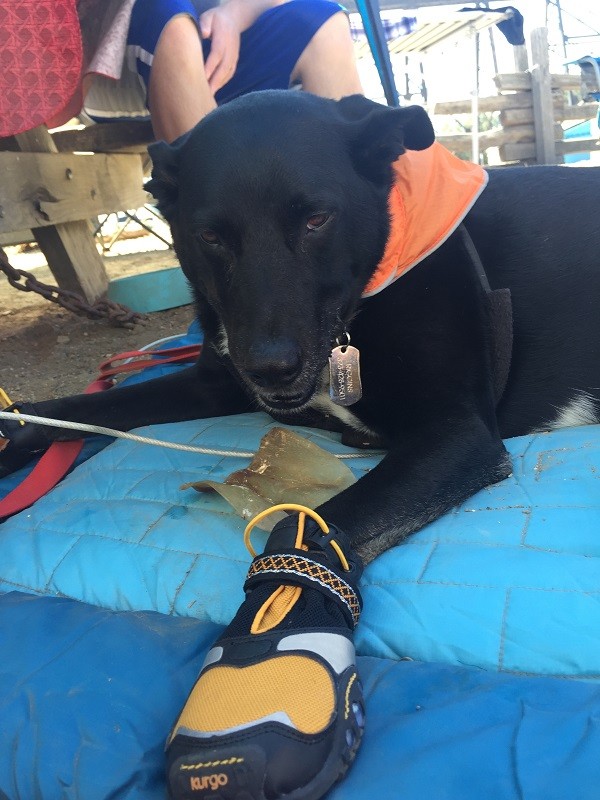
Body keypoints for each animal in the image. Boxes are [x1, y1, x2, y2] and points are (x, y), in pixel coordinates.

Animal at [1, 90, 600, 560]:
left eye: (316, 219)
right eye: (210, 236)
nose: (270, 369)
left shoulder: (455, 434)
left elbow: (297, 528)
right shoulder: (213, 384)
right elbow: (80, 409)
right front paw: (16, 433)